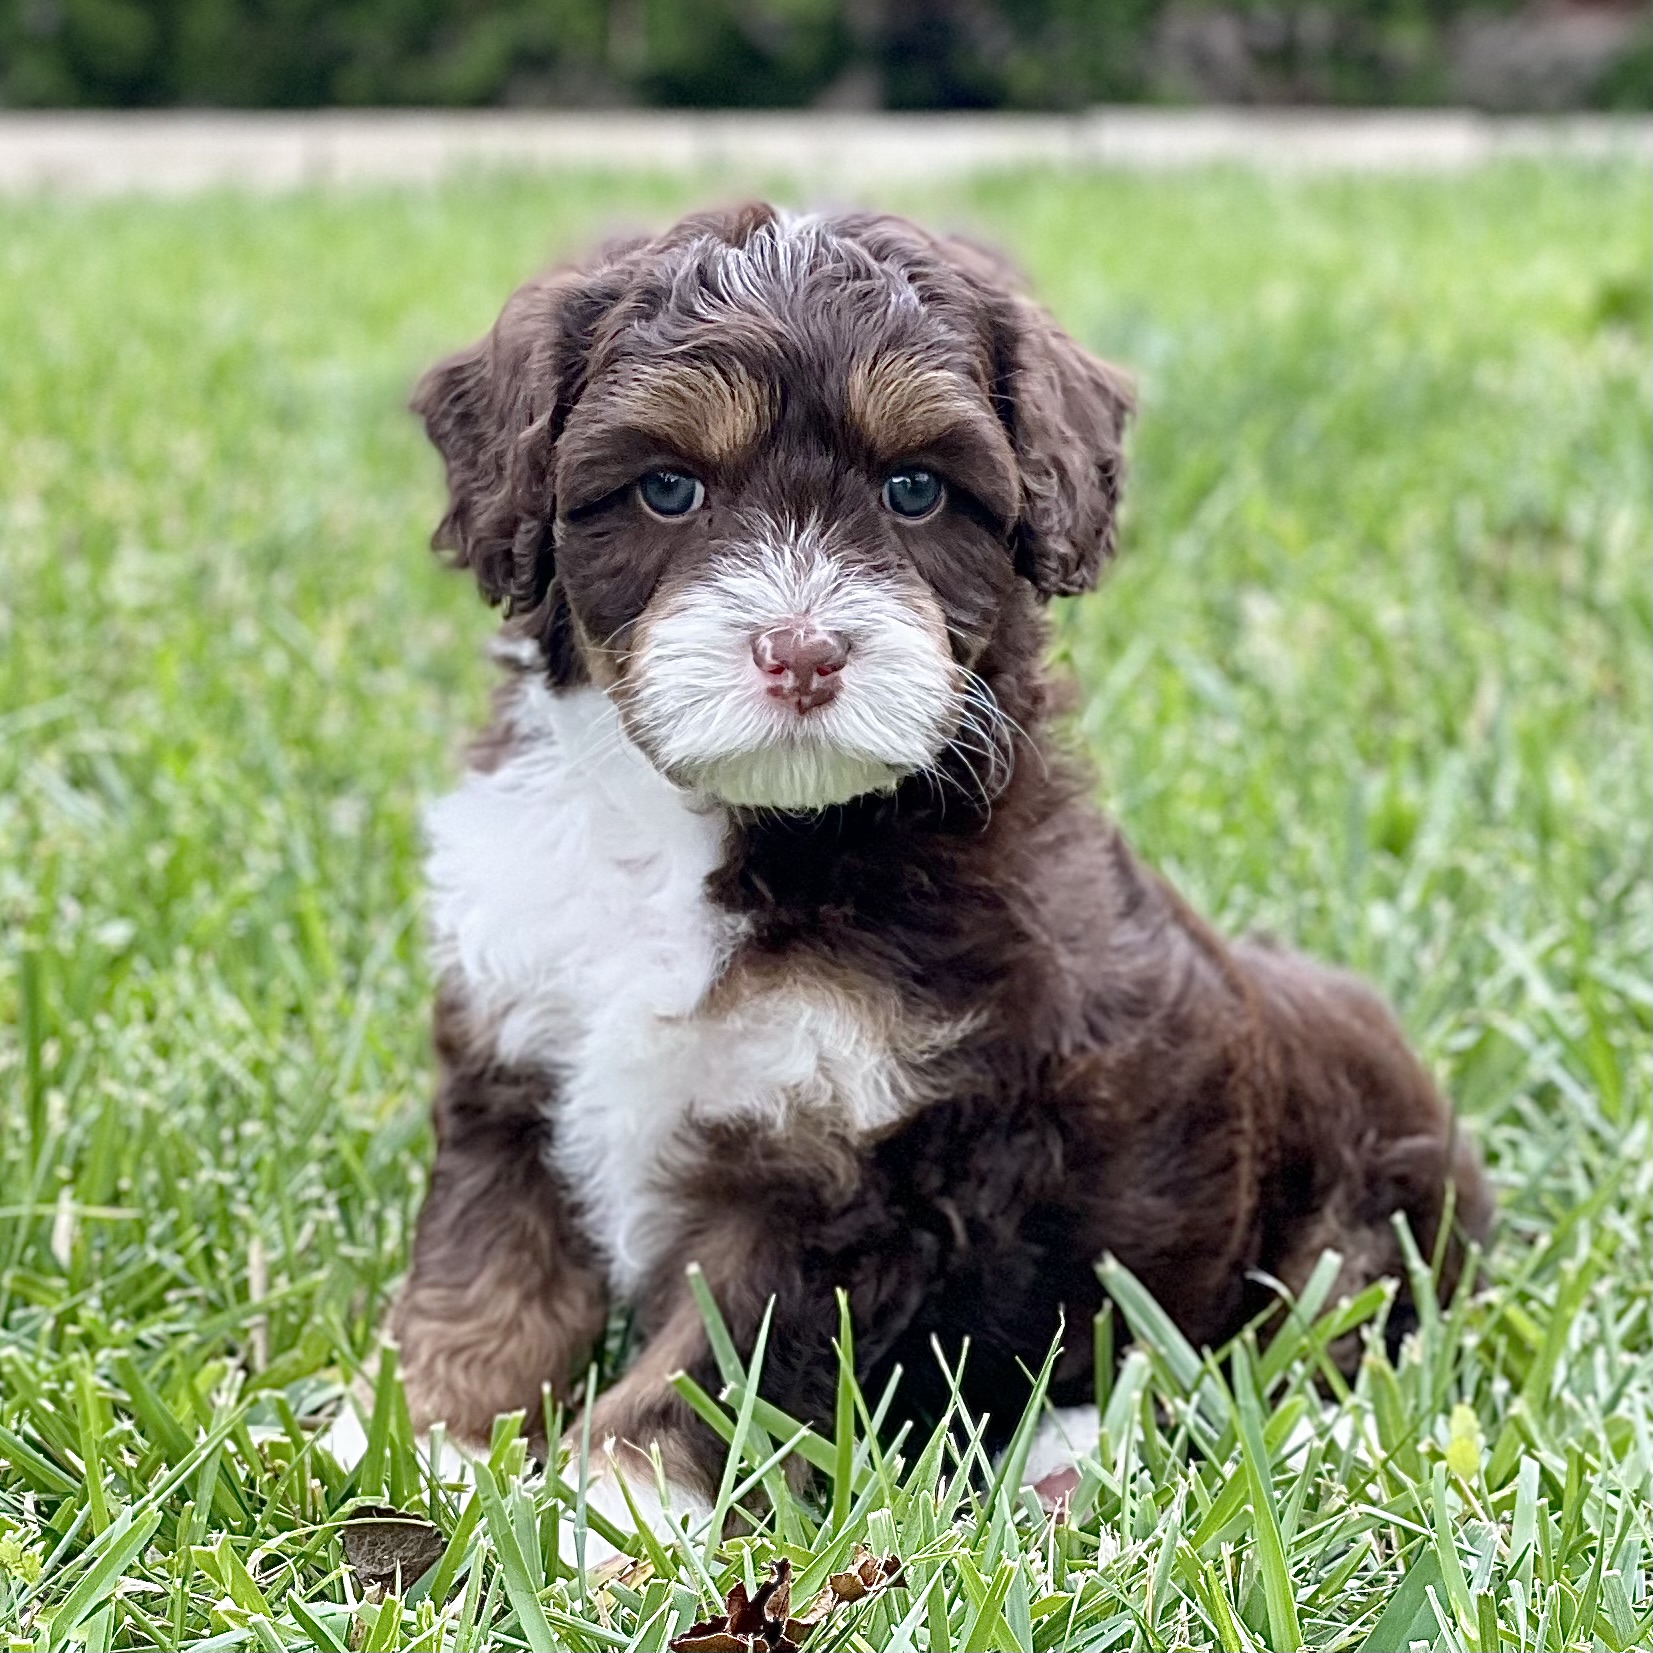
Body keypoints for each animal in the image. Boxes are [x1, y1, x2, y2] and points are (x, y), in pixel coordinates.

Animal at [393, 200, 1494, 1527]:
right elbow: (485, 1278)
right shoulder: (513, 1058)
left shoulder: (852, 1183)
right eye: (668, 487)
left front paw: (610, 1524)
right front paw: (421, 1446)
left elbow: (709, 1371)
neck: (715, 829)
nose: (804, 652)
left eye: (915, 489)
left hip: (1357, 1209)